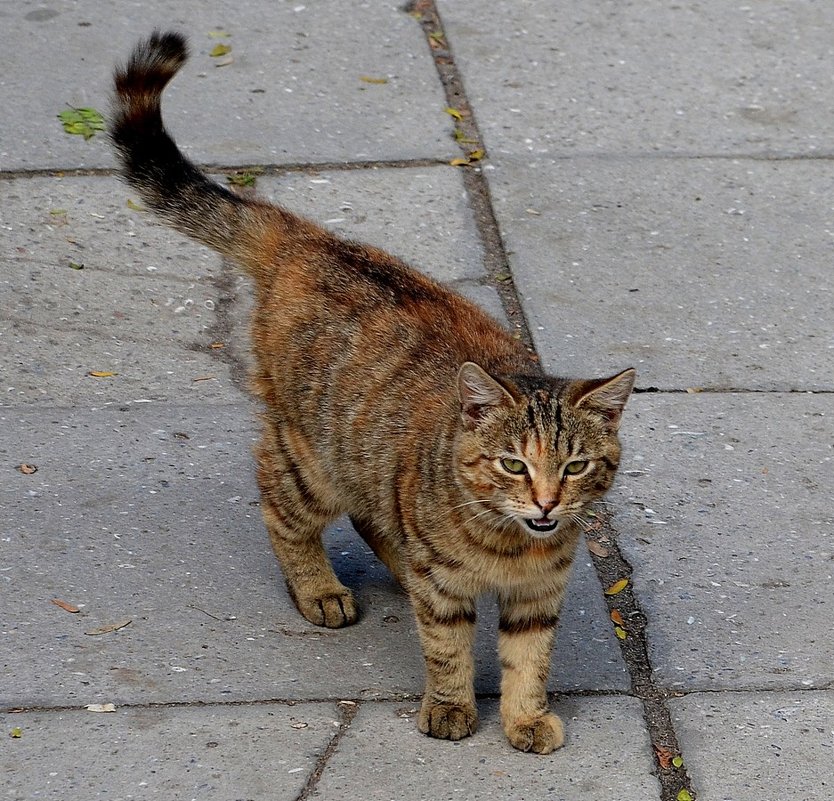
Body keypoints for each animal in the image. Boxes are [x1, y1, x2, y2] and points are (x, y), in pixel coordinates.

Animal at [109, 31, 632, 752]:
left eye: (575, 466)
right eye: (513, 464)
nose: (548, 503)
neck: (510, 546)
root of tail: (309, 239)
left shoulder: (537, 596)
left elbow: (530, 660)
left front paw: (525, 717)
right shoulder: (444, 593)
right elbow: (447, 649)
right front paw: (451, 708)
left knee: (371, 514)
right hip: (309, 458)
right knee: (278, 501)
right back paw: (317, 586)